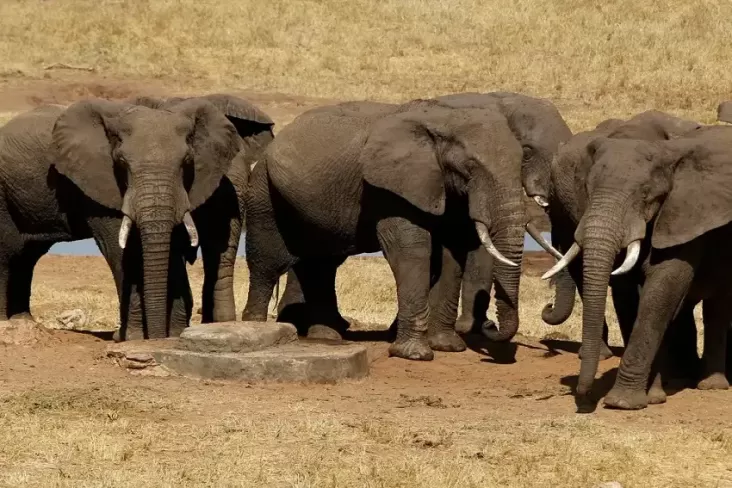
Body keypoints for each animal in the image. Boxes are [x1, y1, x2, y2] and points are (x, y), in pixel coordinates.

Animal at [0, 94, 272, 340]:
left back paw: (23, 320)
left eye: (186, 161)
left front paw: (169, 334)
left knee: (26, 256)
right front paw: (132, 337)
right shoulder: (100, 181)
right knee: (8, 254)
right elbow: (121, 249)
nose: (157, 337)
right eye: (121, 162)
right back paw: (7, 322)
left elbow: (169, 248)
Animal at [244, 101, 528, 360]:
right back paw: (254, 326)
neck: (445, 119)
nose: (490, 325)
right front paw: (414, 354)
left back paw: (326, 336)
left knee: (321, 264)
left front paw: (447, 346)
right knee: (267, 263)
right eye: (469, 167)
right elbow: (412, 251)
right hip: (264, 191)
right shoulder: (390, 189)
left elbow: (452, 254)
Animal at [544, 124, 732, 410]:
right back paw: (682, 377)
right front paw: (651, 397)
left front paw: (622, 403)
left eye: (645, 195)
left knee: (717, 304)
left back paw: (710, 385)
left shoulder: (683, 213)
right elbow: (629, 294)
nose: (584, 396)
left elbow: (664, 284)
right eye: (587, 189)